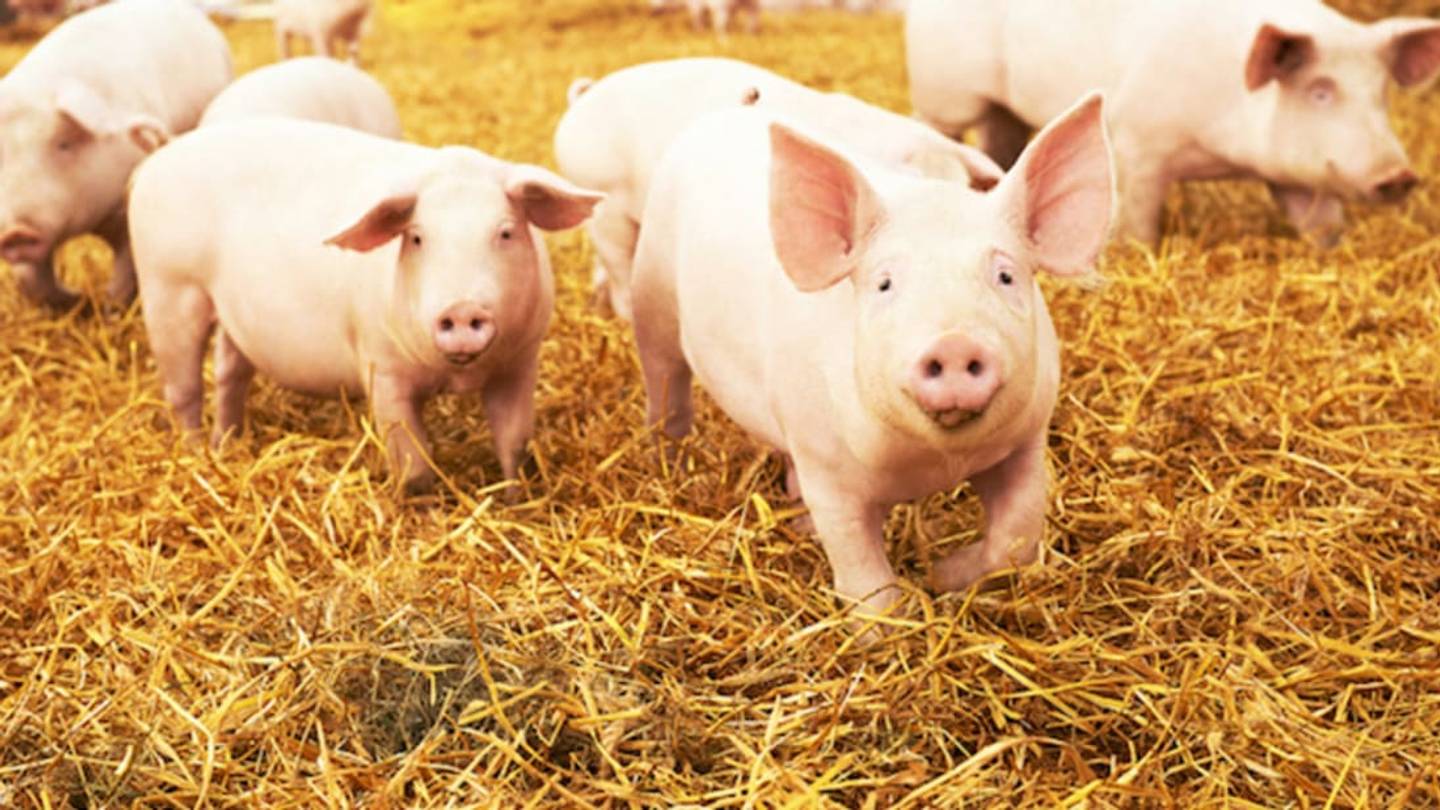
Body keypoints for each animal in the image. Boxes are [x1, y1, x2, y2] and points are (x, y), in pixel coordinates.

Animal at [0, 0, 231, 311]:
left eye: (64, 143)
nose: (13, 233)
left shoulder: (125, 212)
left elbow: (123, 271)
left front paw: (111, 309)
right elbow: (32, 280)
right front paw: (75, 298)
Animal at [128, 119, 603, 492]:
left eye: (505, 232)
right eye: (417, 237)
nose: (462, 308)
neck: (457, 376)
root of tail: (159, 158)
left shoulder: (520, 362)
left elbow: (515, 446)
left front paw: (517, 502)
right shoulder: (381, 367)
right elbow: (413, 465)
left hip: (233, 312)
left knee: (229, 371)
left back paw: (226, 445)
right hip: (168, 289)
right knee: (183, 389)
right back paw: (195, 456)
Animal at [629, 94, 1113, 615]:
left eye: (1005, 276)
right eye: (884, 283)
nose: (954, 342)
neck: (935, 464)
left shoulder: (1027, 439)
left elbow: (1015, 538)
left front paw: (943, 575)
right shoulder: (829, 473)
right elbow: (864, 574)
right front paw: (889, 617)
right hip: (653, 301)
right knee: (667, 389)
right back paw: (670, 461)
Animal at [906, 0, 1440, 247]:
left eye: (1381, 93)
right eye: (1321, 91)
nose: (1400, 175)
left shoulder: (1298, 178)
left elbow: (1320, 222)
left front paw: (1329, 248)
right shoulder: (1138, 143)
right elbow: (1139, 218)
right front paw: (1137, 249)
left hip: (1004, 110)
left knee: (1002, 139)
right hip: (943, 92)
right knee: (935, 125)